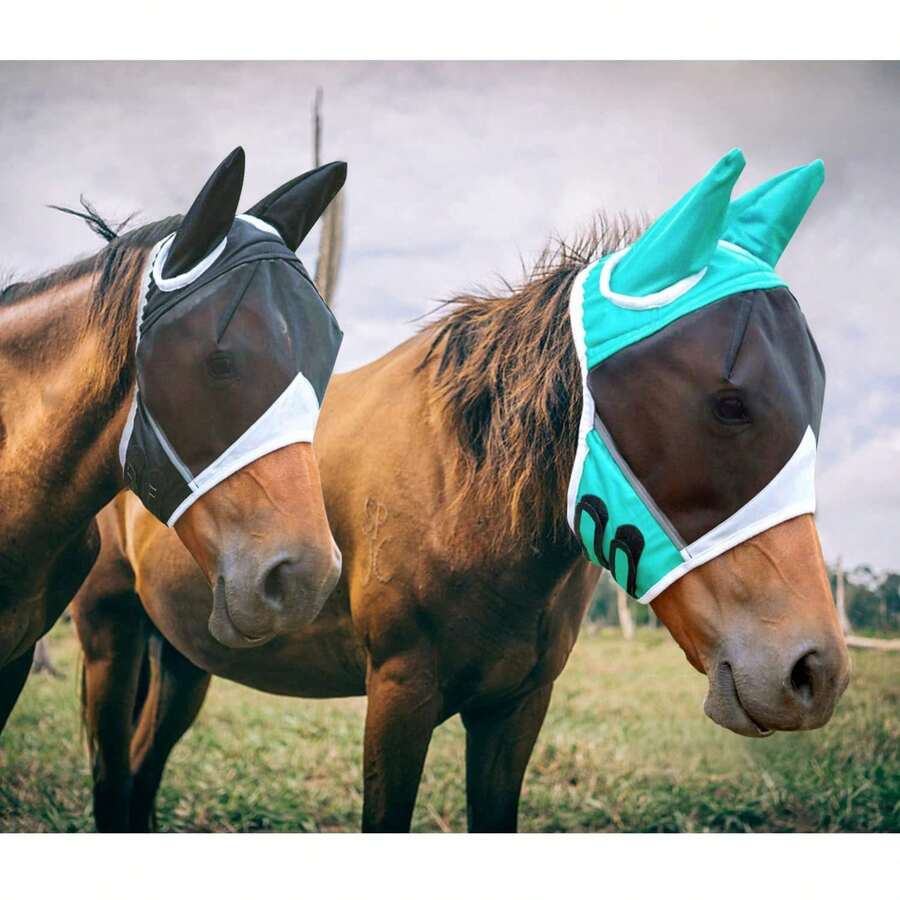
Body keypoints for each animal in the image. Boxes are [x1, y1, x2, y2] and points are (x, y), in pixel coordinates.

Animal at [72, 155, 851, 832]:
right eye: (729, 403)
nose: (813, 671)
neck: (464, 495)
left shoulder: (516, 709)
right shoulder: (399, 696)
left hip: (183, 656)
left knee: (142, 769)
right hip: (112, 633)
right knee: (113, 774)